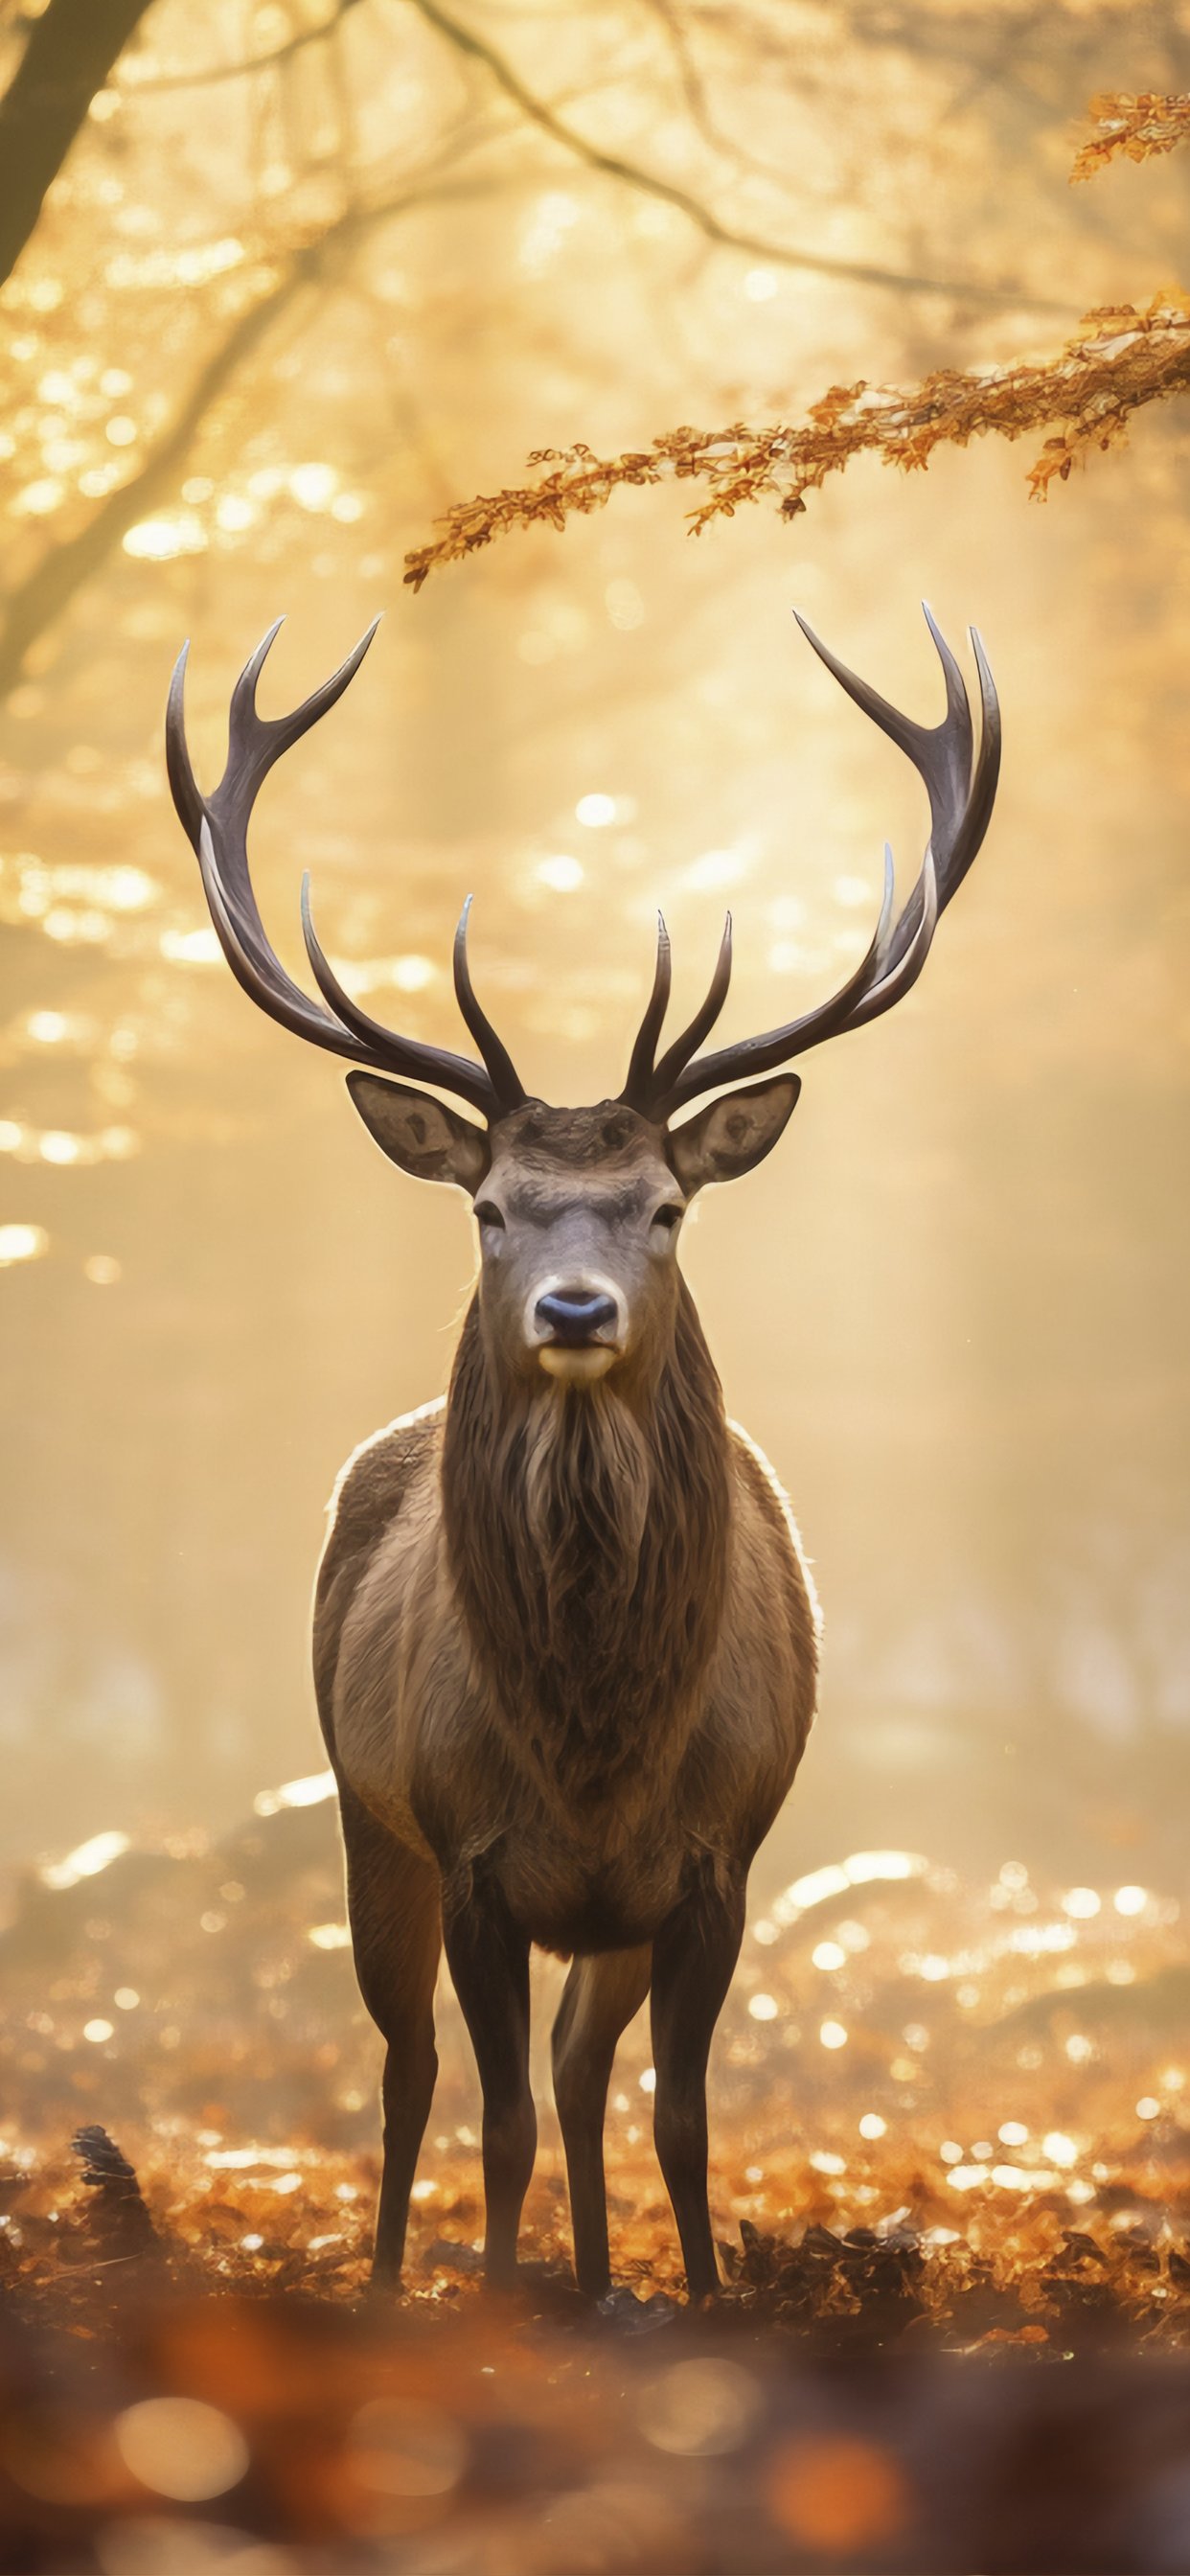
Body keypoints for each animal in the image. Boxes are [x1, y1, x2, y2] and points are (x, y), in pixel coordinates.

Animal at [166, 604, 1000, 2303]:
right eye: (490, 1207)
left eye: (664, 1205)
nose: (569, 1307)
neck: (596, 1744)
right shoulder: (470, 1850)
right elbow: (487, 2120)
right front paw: (495, 2300)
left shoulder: (714, 1864)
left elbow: (676, 2114)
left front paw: (692, 2299)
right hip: (363, 1818)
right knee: (411, 2069)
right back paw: (387, 2283)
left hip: (596, 1919)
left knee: (575, 2068)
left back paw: (603, 2280)